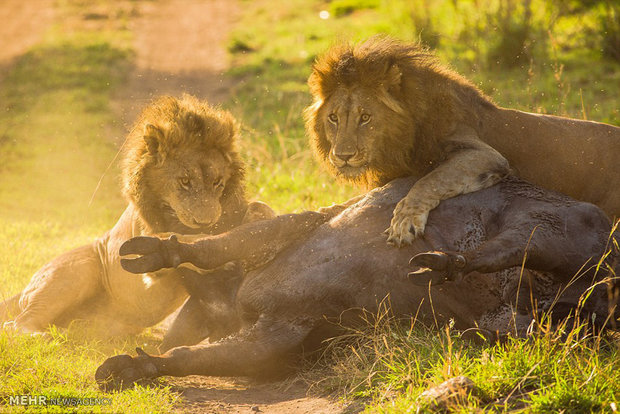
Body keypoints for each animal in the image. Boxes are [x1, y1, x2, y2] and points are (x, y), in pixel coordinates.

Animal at [0, 94, 274, 336]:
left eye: (217, 182)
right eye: (184, 181)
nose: (205, 221)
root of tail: (24, 289)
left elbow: (258, 208)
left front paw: (259, 228)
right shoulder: (147, 256)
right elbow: (186, 241)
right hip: (78, 269)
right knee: (15, 325)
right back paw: (45, 335)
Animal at [306, 35, 620, 246]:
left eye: (365, 117)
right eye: (333, 118)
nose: (343, 155)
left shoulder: (485, 154)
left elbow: (429, 180)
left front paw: (405, 221)